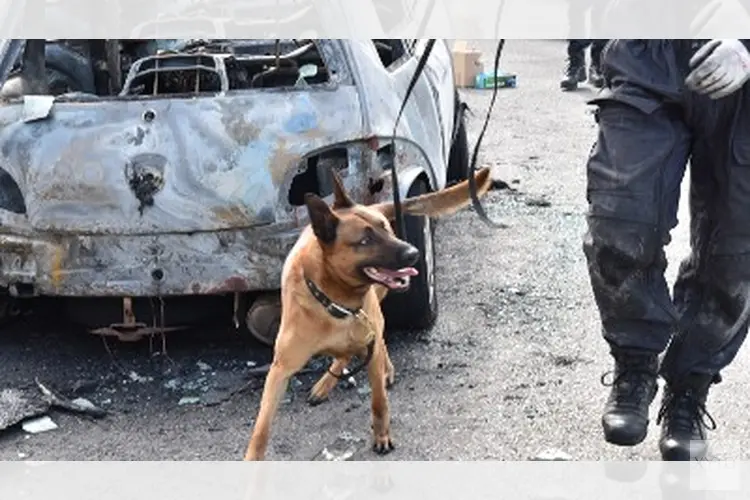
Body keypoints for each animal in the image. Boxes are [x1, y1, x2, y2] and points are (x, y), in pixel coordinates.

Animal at [244, 166, 496, 458]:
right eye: (365, 240)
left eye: (386, 227)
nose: (414, 252)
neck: (334, 302)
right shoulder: (280, 369)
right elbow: (261, 427)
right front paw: (252, 458)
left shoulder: (370, 343)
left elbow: (379, 402)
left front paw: (381, 436)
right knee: (346, 352)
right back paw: (326, 382)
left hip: (375, 317)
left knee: (377, 341)